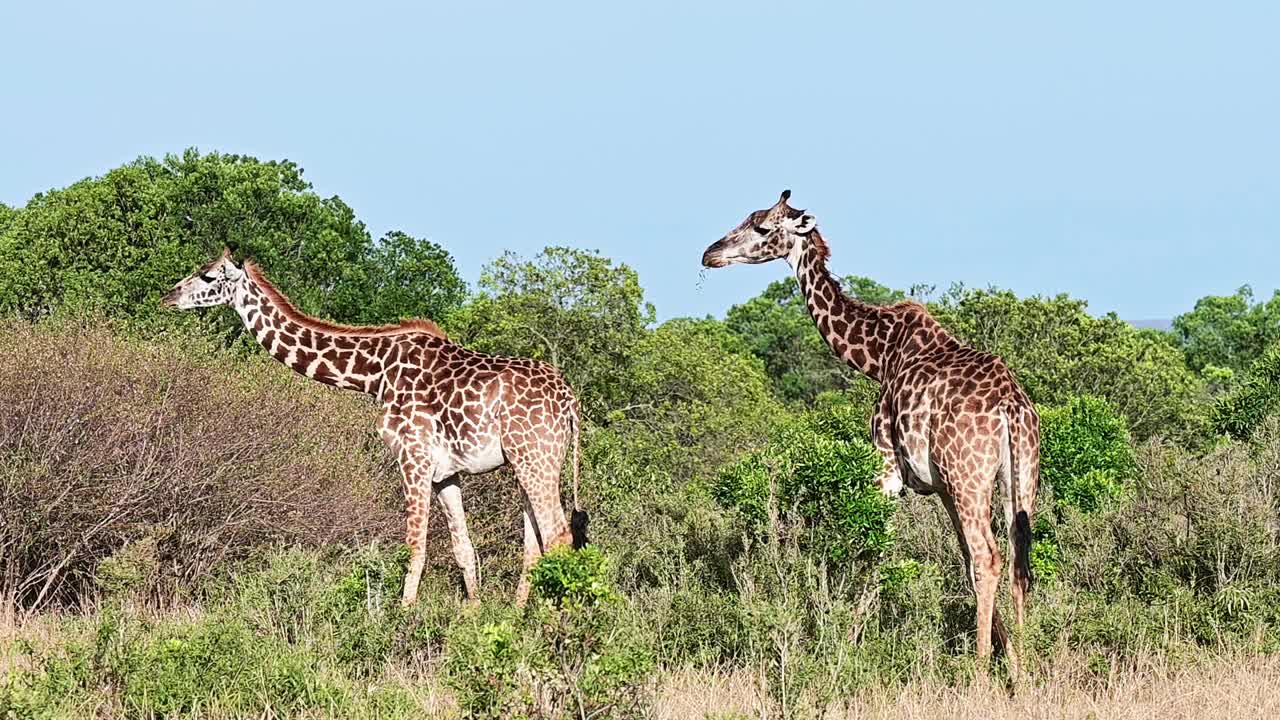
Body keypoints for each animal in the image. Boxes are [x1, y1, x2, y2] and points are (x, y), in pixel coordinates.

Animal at [161, 249, 593, 602]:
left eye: (207, 276)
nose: (168, 296)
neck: (374, 375)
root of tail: (571, 402)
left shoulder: (412, 457)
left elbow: (415, 547)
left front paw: (403, 618)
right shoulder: (445, 472)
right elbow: (463, 549)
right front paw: (472, 616)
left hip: (534, 456)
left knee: (558, 535)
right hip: (529, 462)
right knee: (536, 541)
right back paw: (520, 615)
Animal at [701, 192, 1039, 661]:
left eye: (762, 228)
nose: (709, 253)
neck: (879, 356)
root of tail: (1010, 407)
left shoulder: (888, 466)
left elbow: (877, 550)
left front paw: (846, 646)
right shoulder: (941, 485)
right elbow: (961, 557)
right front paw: (1008, 650)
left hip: (970, 476)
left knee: (989, 557)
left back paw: (980, 668)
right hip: (1017, 476)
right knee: (1017, 559)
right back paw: (1025, 666)